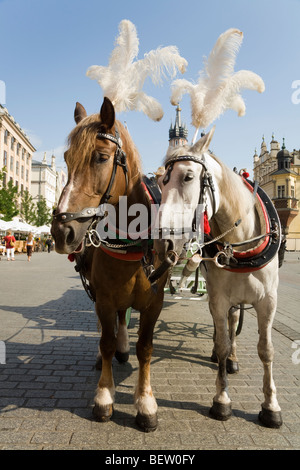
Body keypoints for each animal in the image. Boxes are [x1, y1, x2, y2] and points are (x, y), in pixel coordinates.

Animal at [51, 97, 166, 432]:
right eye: (66, 159)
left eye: (101, 157)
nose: (61, 231)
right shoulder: (102, 297)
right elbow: (104, 341)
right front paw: (104, 395)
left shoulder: (154, 303)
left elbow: (145, 347)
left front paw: (145, 402)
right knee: (110, 326)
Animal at [154, 127, 282, 426]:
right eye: (162, 182)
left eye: (188, 177)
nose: (163, 243)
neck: (240, 243)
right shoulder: (219, 298)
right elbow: (223, 342)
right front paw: (222, 399)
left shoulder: (268, 302)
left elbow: (266, 349)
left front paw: (271, 405)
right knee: (226, 324)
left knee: (234, 323)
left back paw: (234, 360)